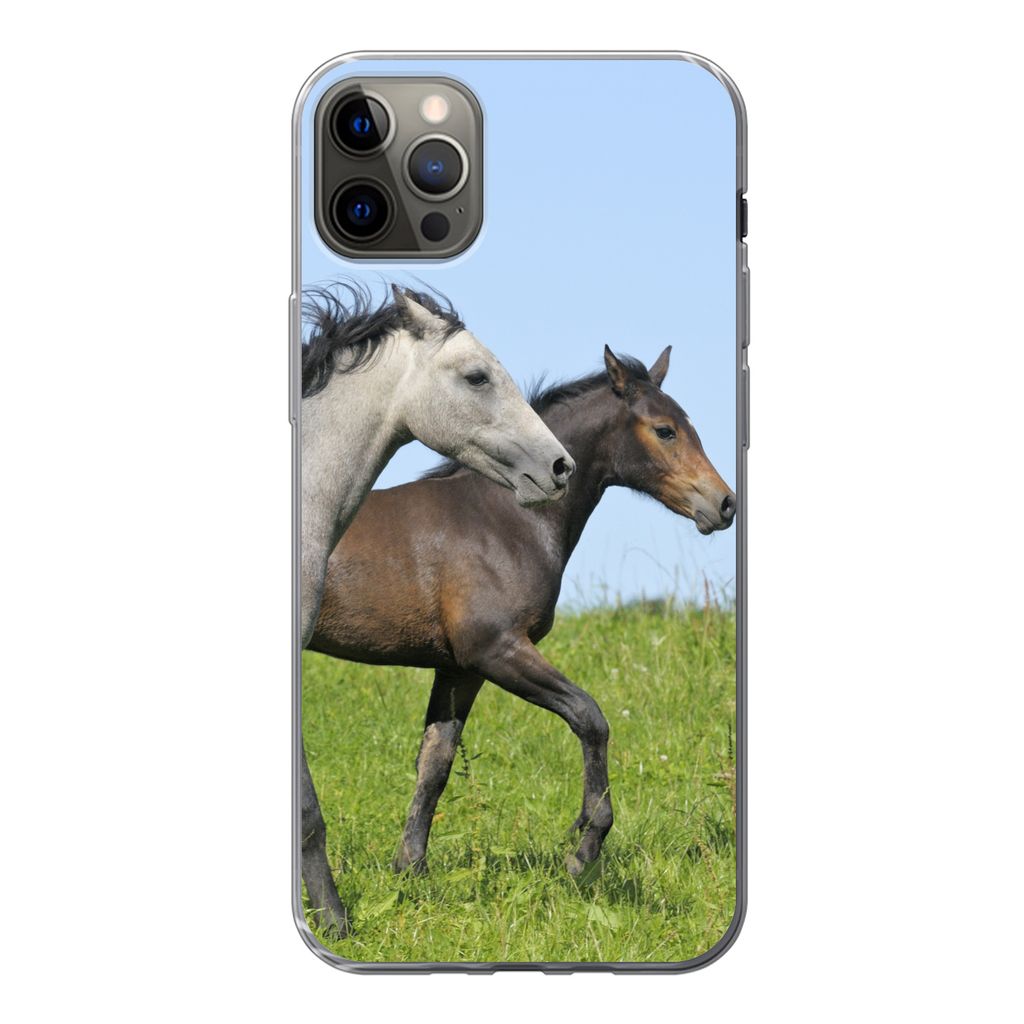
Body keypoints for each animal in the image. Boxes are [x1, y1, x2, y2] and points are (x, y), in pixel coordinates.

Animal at [307, 344, 735, 890]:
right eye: (664, 430)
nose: (724, 504)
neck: (503, 520)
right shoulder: (497, 649)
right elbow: (590, 718)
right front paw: (585, 846)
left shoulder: (459, 669)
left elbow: (435, 763)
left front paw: (412, 872)